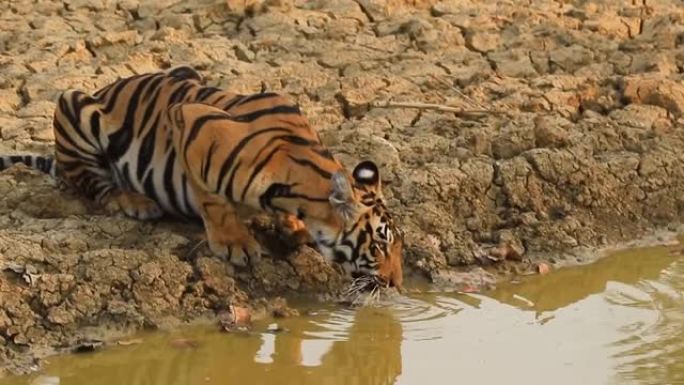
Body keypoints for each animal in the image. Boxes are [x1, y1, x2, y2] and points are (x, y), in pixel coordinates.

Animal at [0, 66, 404, 286]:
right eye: (379, 244)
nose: (397, 284)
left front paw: (293, 228)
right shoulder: (191, 121)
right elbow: (212, 199)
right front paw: (235, 244)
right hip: (73, 103)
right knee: (91, 182)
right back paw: (134, 201)